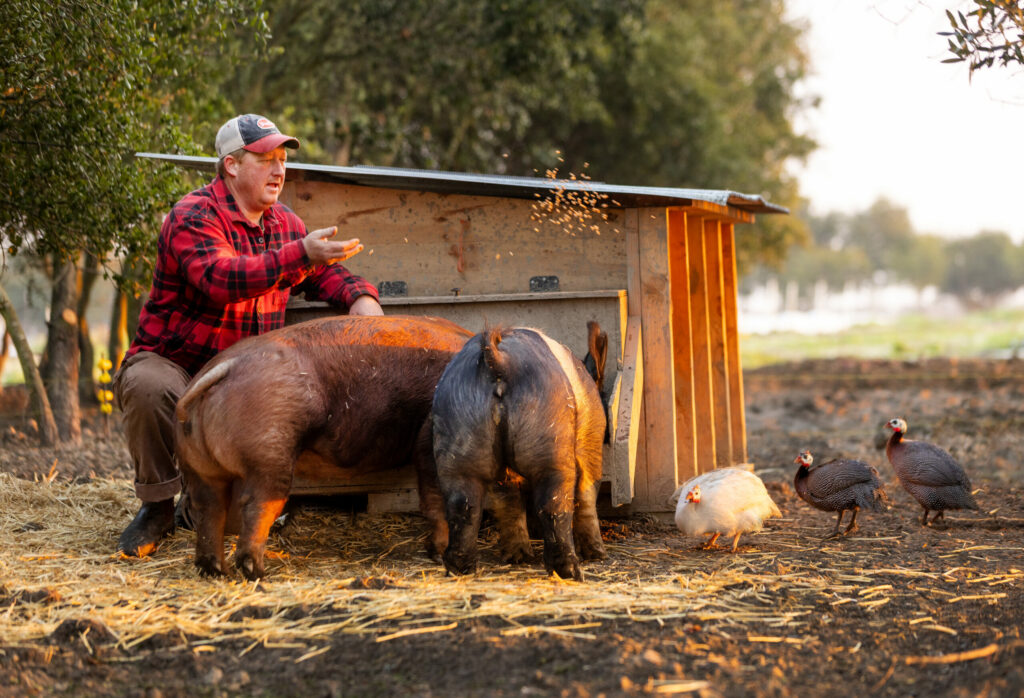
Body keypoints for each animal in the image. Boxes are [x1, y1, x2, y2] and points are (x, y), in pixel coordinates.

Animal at [174, 314, 473, 580]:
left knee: (208, 507)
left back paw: (214, 571)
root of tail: (227, 366)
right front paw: (438, 555)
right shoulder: (429, 443)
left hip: (198, 465)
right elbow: (436, 498)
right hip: (269, 452)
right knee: (257, 506)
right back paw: (258, 573)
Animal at [431, 324, 609, 581]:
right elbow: (587, 492)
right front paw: (598, 555)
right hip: (550, 438)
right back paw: (571, 572)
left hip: (457, 430)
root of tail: (498, 360)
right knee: (554, 502)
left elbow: (509, 500)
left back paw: (466, 569)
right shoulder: (591, 440)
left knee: (464, 505)